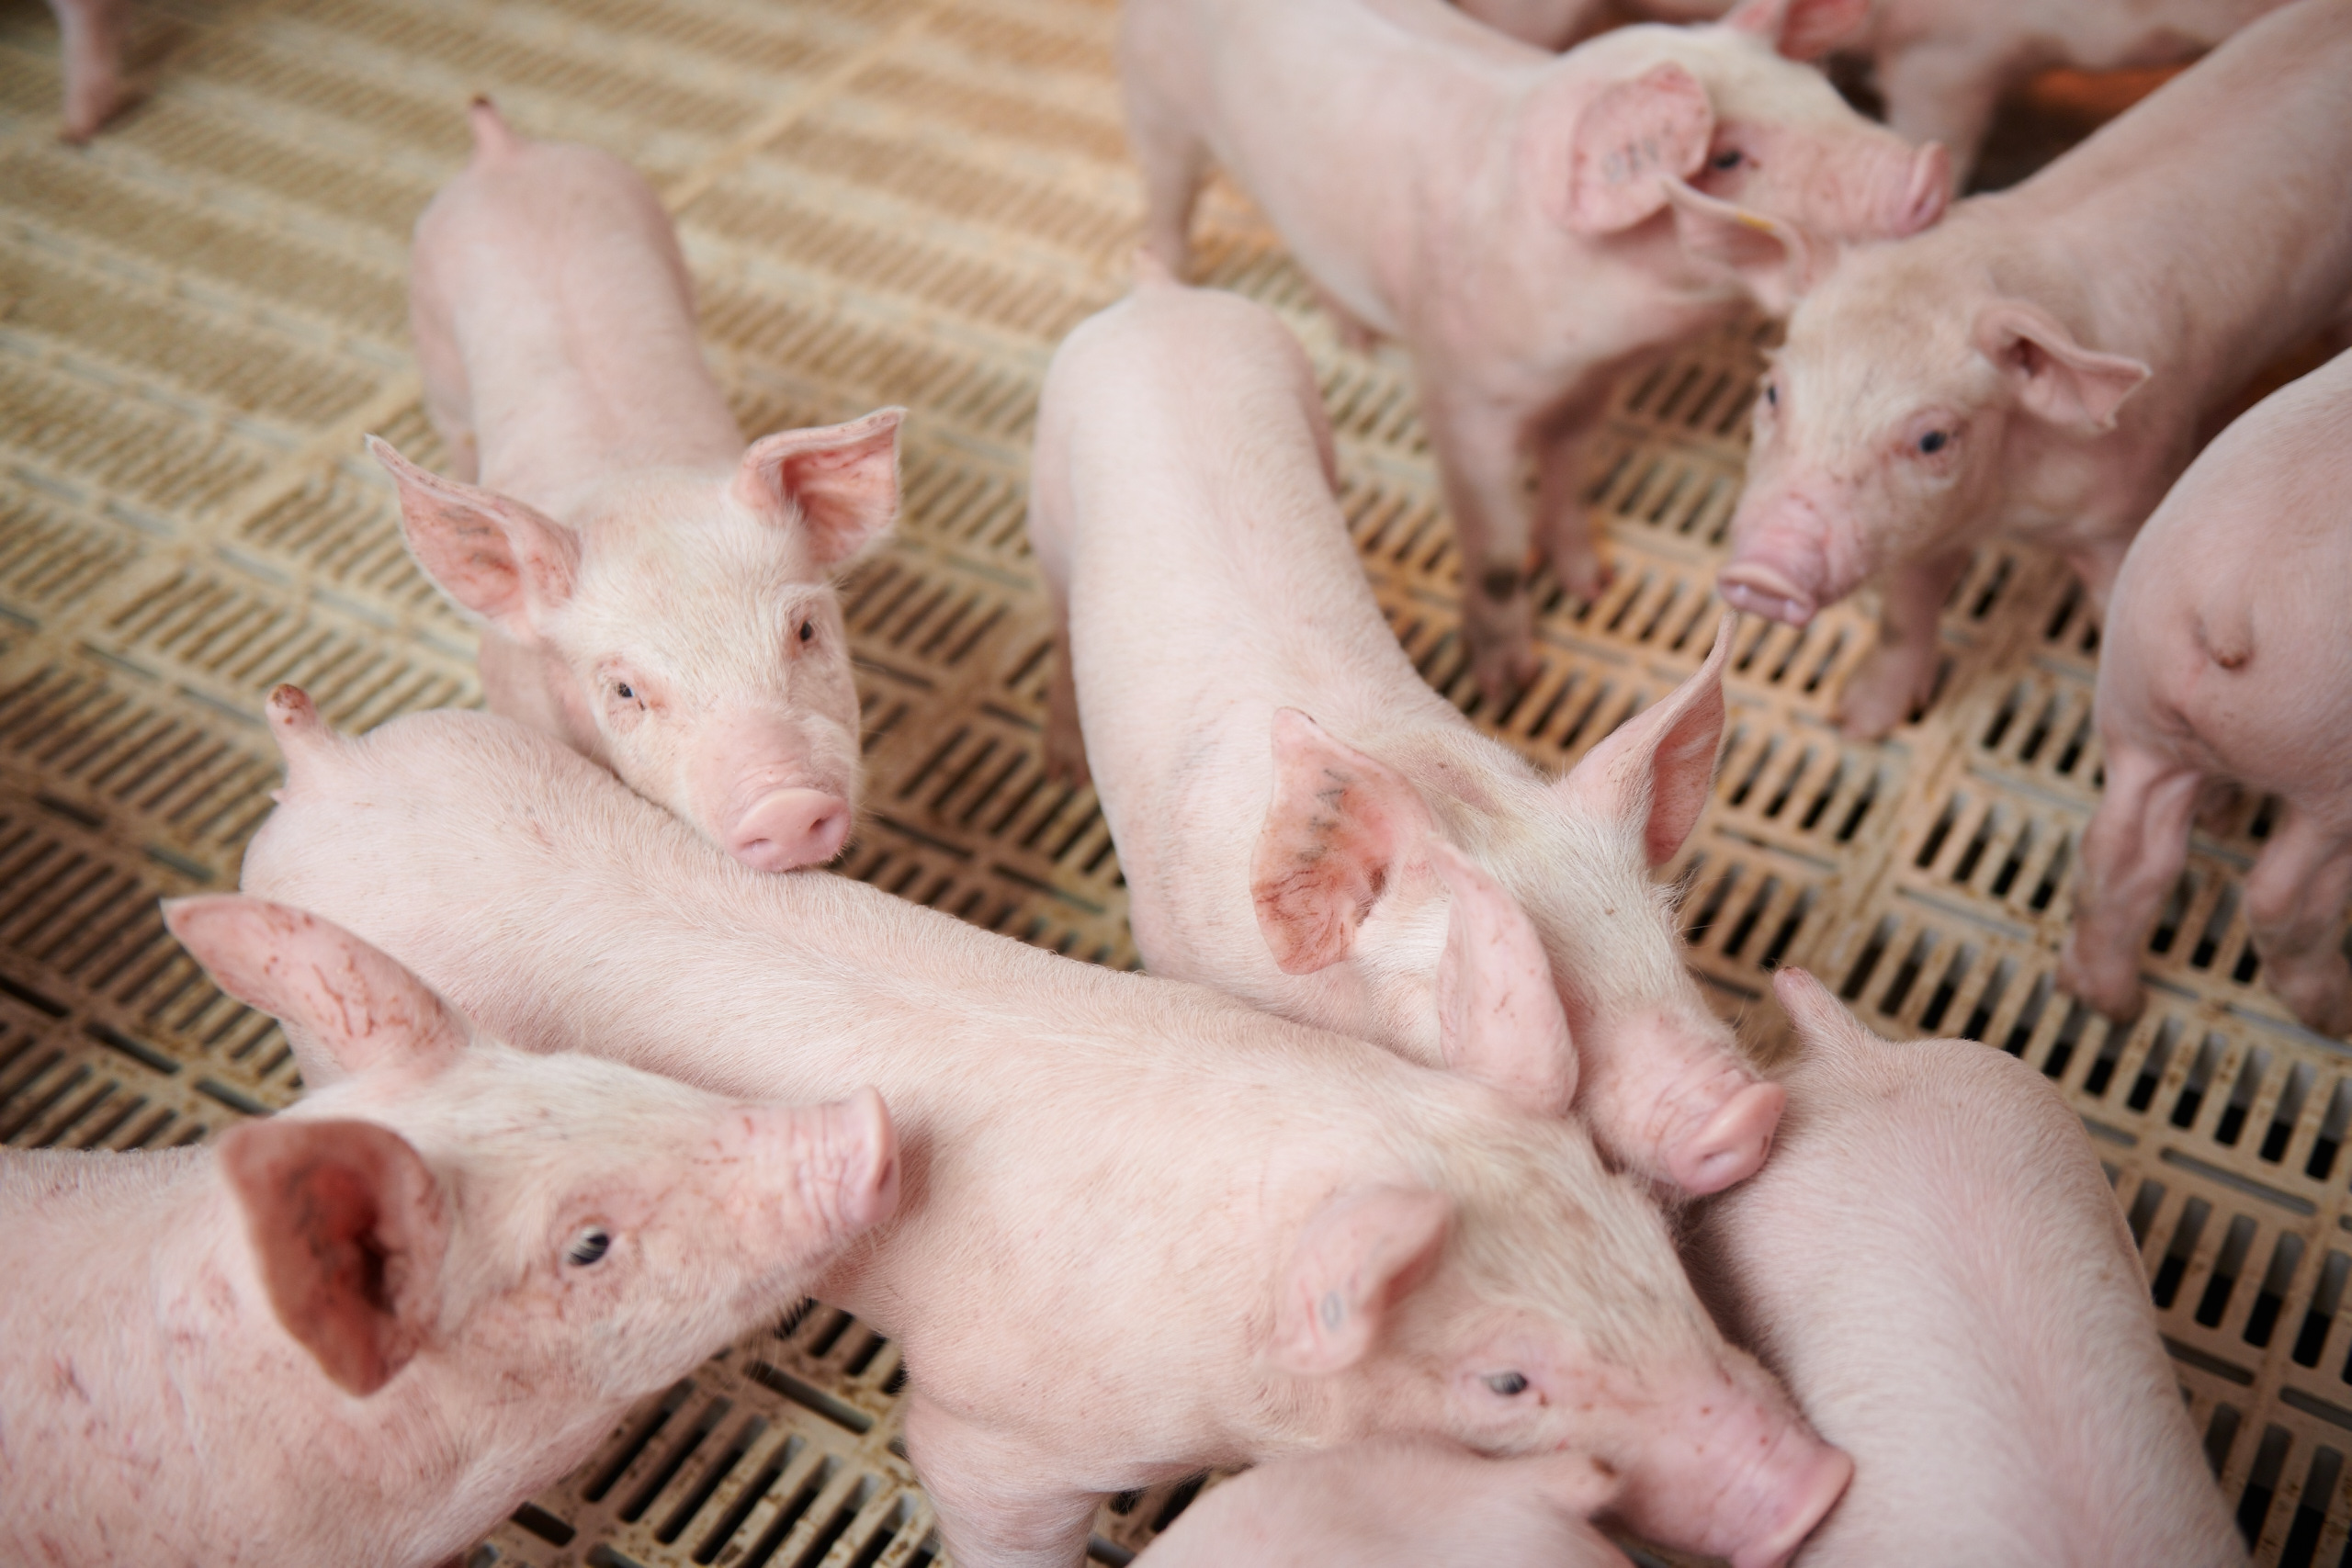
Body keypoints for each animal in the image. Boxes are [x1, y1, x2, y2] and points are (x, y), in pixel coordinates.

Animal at [388, 98, 905, 871]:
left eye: (807, 629)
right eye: (625, 689)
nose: (786, 805)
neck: (632, 478)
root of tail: (504, 152)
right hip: (436, 353)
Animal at [1029, 272, 1781, 1197]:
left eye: (1671, 941)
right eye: (1517, 989)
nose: (1752, 1110)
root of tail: (1162, 298)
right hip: (1049, 489)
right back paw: (1060, 762)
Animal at [1121, 0, 1949, 699]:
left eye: (1822, 87)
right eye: (1728, 158)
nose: (1929, 171)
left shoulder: (1595, 384)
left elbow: (1571, 471)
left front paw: (1592, 582)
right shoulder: (1460, 396)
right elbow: (1493, 547)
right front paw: (1506, 680)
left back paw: (1359, 341)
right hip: (1159, 109)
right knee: (1166, 204)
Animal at [1714, 0, 2352, 740]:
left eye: (1933, 438)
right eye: (1772, 393)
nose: (1763, 572)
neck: (2007, 506)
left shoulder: (2122, 512)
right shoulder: (1930, 527)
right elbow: (1906, 613)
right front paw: (1855, 722)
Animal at [2059, 351, 2352, 1036]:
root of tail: (2229, 600)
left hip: (2138, 704)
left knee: (2118, 856)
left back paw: (2111, 1003)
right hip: (2332, 763)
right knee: (2281, 897)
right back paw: (2335, 1011)